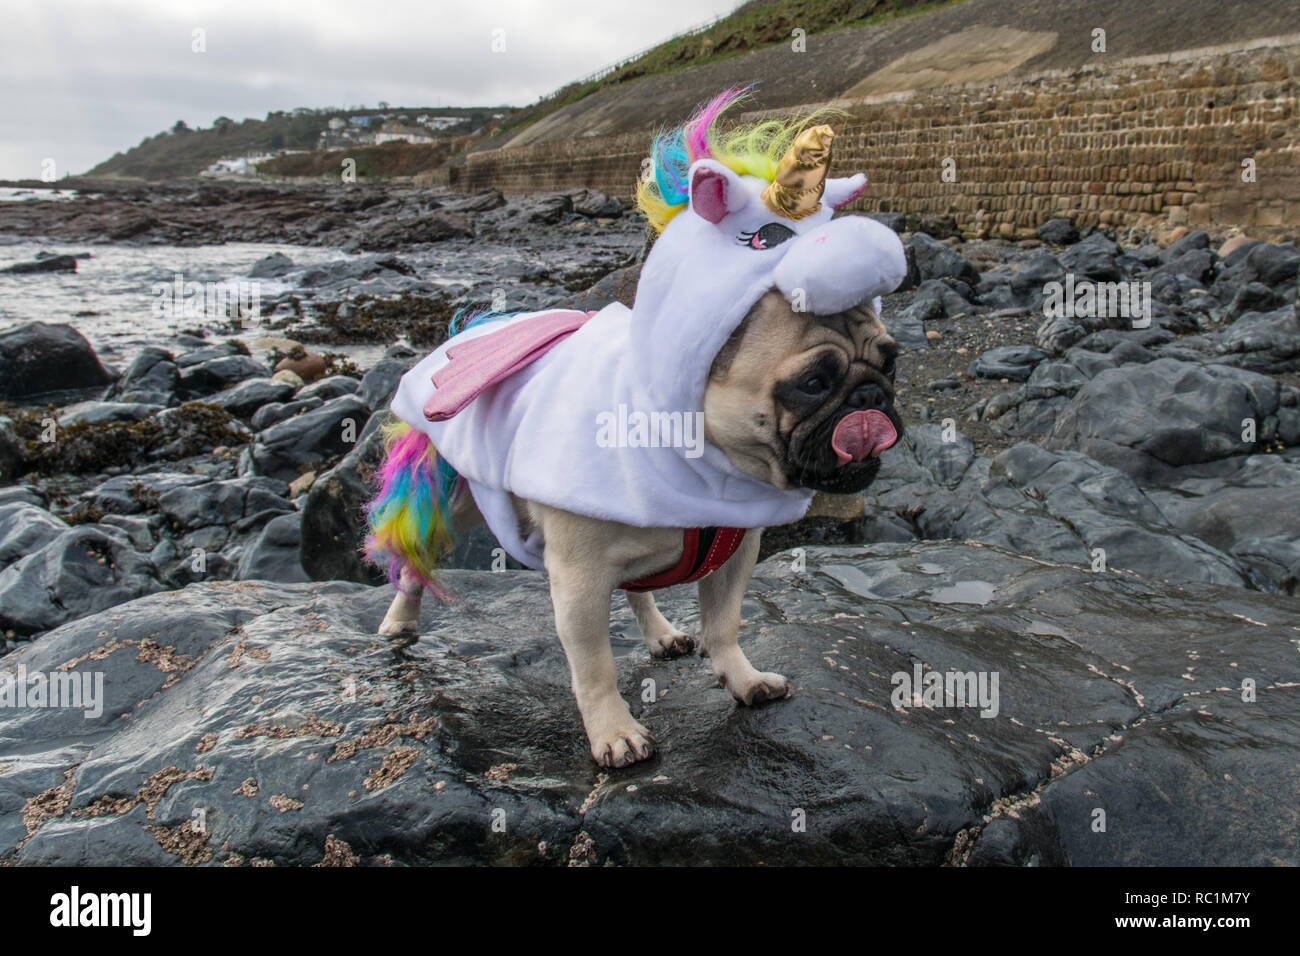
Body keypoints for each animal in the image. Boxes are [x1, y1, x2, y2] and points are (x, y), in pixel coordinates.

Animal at [379, 287, 899, 764]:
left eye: (891, 363)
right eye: (812, 383)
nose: (872, 393)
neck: (702, 453)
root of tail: (472, 331)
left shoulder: (736, 554)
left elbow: (724, 626)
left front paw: (743, 678)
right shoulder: (580, 582)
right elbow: (595, 669)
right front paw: (614, 732)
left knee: (637, 589)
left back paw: (661, 633)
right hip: (454, 503)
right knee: (414, 560)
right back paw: (398, 620)